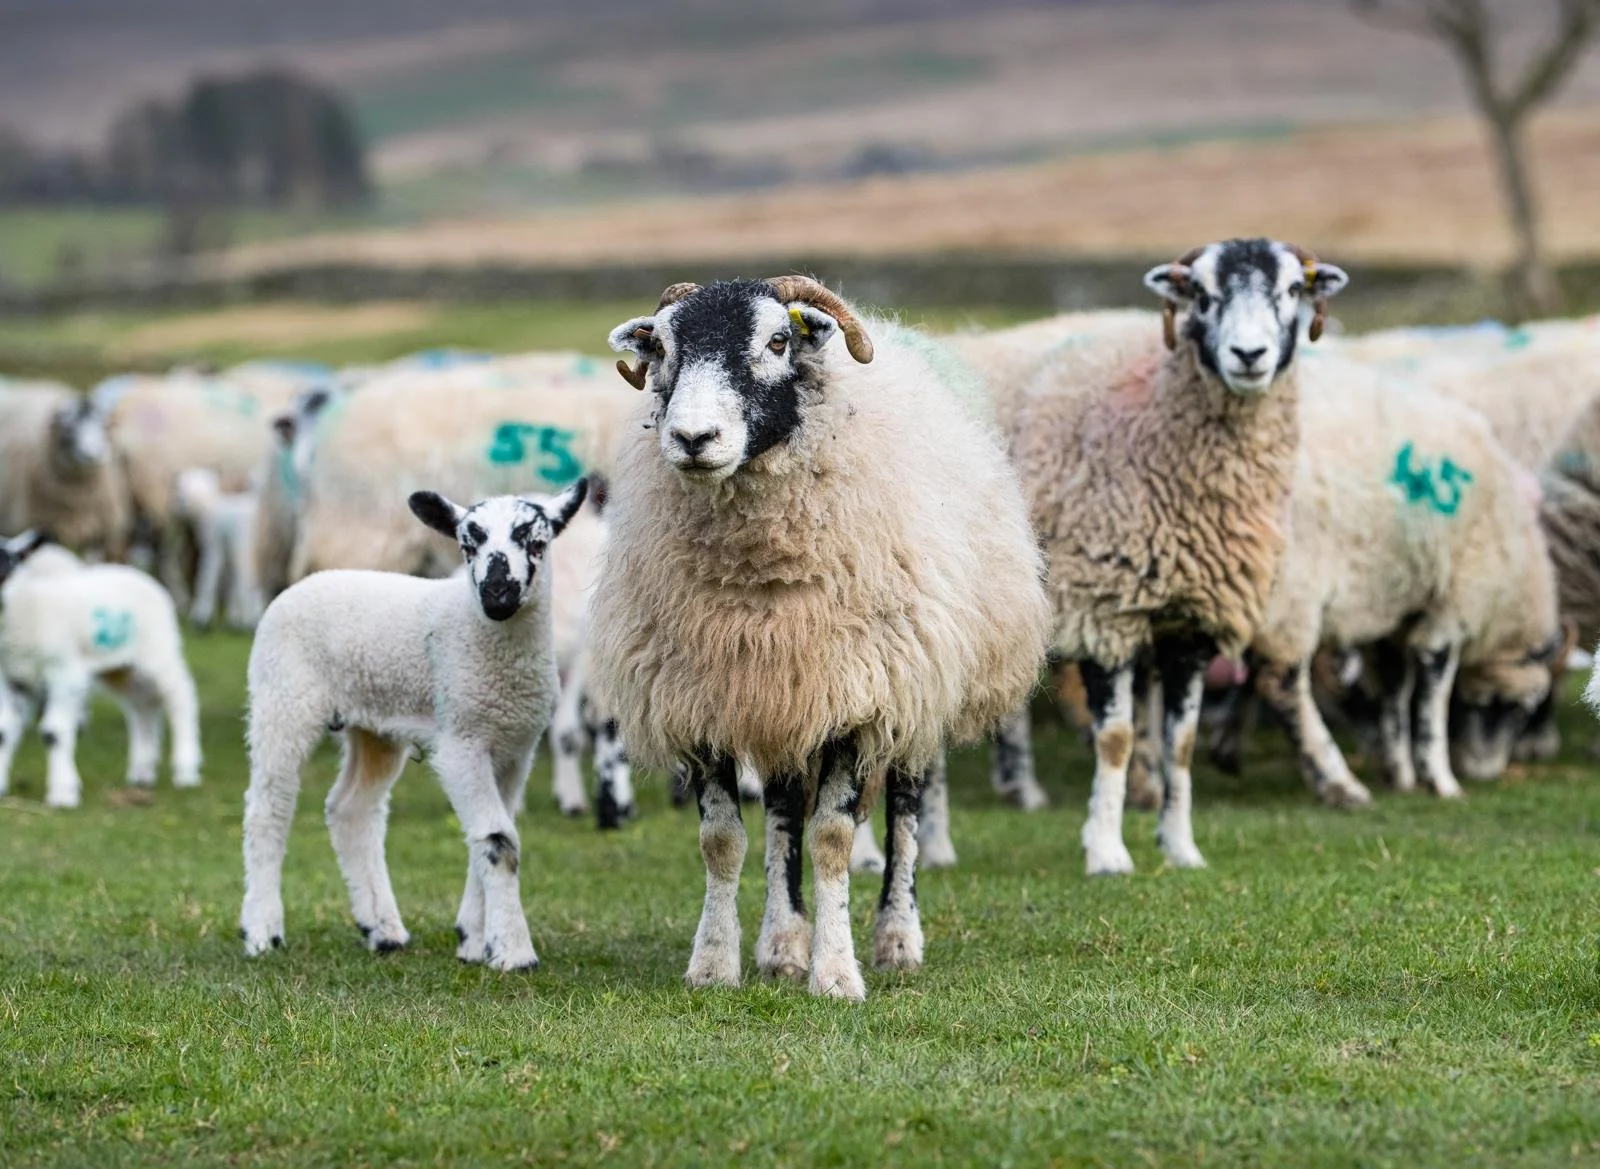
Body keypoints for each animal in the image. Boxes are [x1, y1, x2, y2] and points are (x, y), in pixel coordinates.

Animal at [0, 532, 201, 808]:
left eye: (9, 564)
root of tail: (136, 572)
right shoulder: (13, 679)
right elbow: (4, 731)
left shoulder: (65, 673)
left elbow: (54, 732)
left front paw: (63, 793)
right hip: (122, 669)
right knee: (143, 707)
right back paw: (142, 772)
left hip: (158, 650)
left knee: (180, 696)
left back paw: (186, 769)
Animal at [239, 479, 589, 968]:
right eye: (467, 545)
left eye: (537, 542)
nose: (497, 594)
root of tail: (305, 582)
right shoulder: (461, 740)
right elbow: (500, 839)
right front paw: (514, 952)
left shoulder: (515, 747)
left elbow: (487, 839)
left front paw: (474, 939)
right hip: (283, 700)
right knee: (268, 810)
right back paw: (261, 931)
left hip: (374, 726)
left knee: (351, 809)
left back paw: (382, 929)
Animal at [595, 276, 1051, 1001]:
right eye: (661, 346)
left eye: (779, 340)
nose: (693, 437)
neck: (758, 583)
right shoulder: (706, 698)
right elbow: (723, 841)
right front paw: (714, 964)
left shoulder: (861, 697)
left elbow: (835, 836)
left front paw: (836, 972)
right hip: (787, 690)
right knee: (784, 810)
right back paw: (782, 942)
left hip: (914, 688)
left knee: (904, 813)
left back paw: (897, 938)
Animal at [1007, 238, 1349, 875]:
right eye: (1202, 294)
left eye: (1293, 289)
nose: (1249, 354)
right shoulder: (1104, 611)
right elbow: (1114, 739)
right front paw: (1106, 851)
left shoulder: (1193, 622)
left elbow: (1181, 744)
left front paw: (1181, 846)